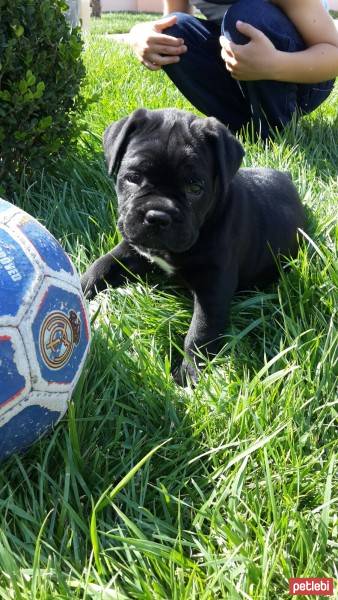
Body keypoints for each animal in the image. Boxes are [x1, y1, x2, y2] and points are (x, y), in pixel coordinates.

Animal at [81, 109, 304, 384]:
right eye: (133, 178)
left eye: (195, 188)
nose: (158, 216)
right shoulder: (132, 249)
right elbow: (101, 265)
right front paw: (79, 287)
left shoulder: (214, 285)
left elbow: (200, 331)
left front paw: (189, 376)